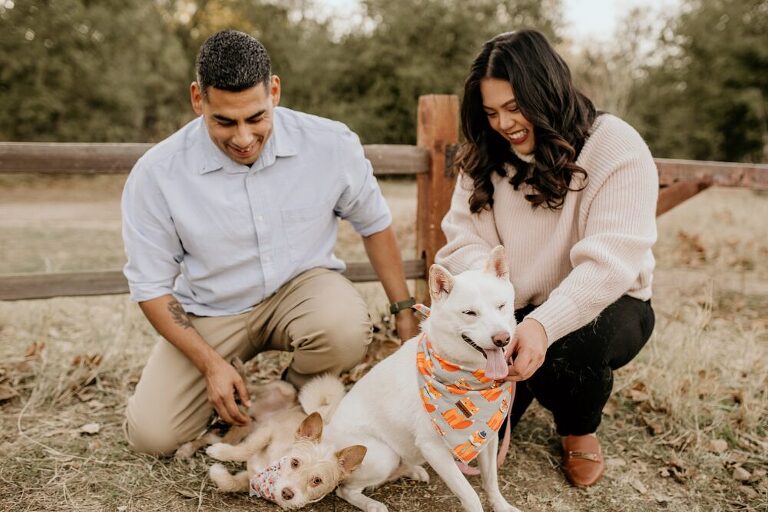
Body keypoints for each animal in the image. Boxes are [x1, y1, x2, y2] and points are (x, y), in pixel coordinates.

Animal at [198, 374, 366, 510]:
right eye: (295, 463)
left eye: (317, 480)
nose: (286, 493)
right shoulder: (268, 430)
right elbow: (246, 449)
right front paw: (219, 452)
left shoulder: (250, 479)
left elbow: (230, 483)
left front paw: (217, 471)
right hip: (285, 388)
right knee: (250, 386)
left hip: (247, 425)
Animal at [324, 246, 520, 510]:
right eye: (469, 313)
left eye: (501, 306)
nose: (502, 338)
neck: (466, 376)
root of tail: (324, 441)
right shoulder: (434, 449)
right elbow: (470, 495)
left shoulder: (489, 439)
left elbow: (491, 482)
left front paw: (501, 505)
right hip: (382, 455)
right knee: (345, 489)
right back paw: (372, 504)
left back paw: (413, 470)